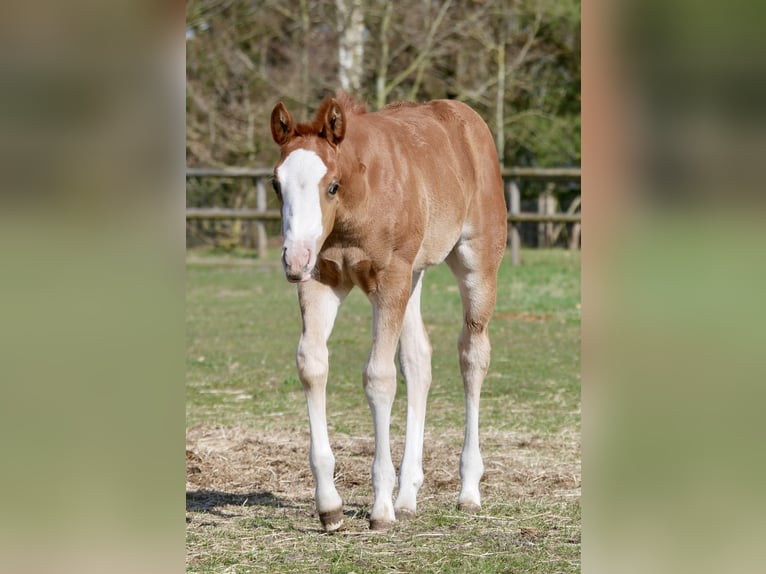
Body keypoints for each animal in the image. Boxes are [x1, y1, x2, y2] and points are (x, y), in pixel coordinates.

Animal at [270, 93, 507, 531]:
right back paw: (408, 495)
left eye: (332, 185)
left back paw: (468, 491)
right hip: (412, 277)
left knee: (472, 355)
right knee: (418, 360)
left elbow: (378, 377)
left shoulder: (389, 279)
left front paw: (380, 508)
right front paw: (330, 506)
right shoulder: (321, 280)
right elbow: (312, 364)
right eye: (277, 185)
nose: (294, 259)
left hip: (475, 263)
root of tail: (467, 117)